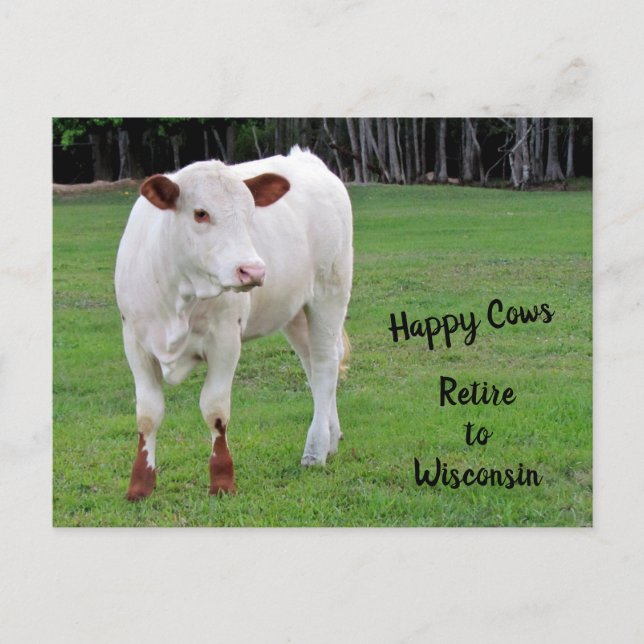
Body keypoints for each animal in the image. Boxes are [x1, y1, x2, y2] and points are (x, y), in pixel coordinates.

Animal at [114, 147, 353, 501]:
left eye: (250, 213)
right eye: (200, 213)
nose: (252, 270)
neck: (179, 293)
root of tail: (307, 158)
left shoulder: (225, 340)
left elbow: (215, 409)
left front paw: (222, 481)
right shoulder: (134, 339)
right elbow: (147, 413)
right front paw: (140, 484)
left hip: (329, 294)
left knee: (324, 366)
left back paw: (315, 449)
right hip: (294, 310)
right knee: (314, 363)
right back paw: (331, 436)